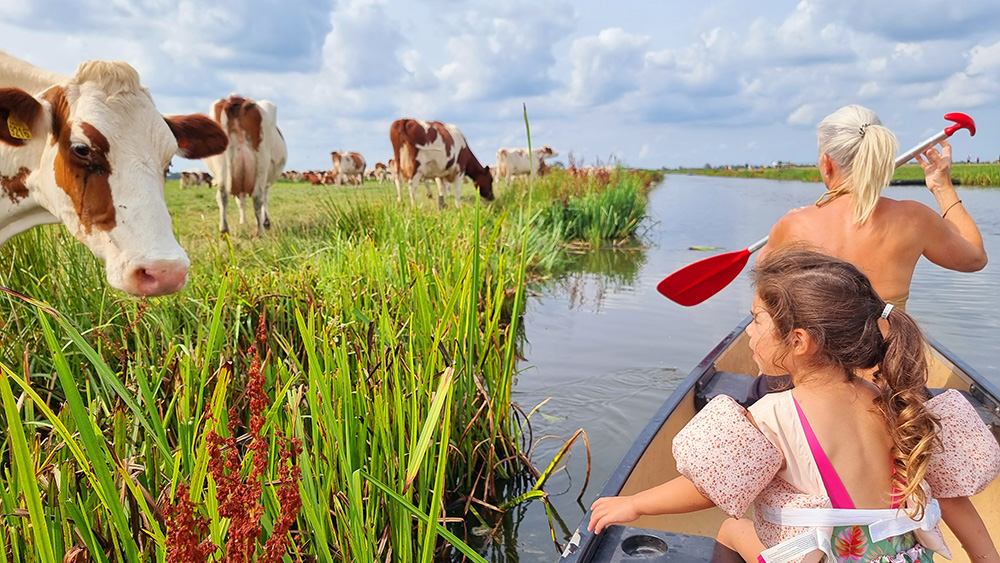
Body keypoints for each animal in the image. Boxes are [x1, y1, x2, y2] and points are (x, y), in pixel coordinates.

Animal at [204, 94, 288, 236]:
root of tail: (235, 99)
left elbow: (241, 201)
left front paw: (243, 222)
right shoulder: (266, 181)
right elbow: (264, 198)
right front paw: (265, 222)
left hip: (222, 162)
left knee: (222, 195)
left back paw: (224, 231)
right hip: (262, 161)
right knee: (258, 197)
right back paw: (261, 231)